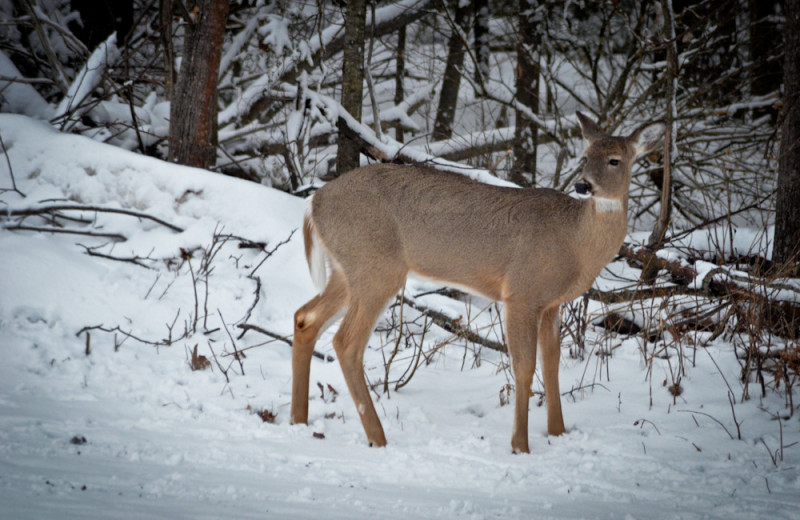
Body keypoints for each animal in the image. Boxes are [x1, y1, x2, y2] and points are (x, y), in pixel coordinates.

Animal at [288, 111, 664, 452]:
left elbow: (552, 363)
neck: (575, 244)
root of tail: (313, 201)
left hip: (347, 270)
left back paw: (298, 420)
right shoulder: (521, 292)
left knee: (305, 318)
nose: (583, 185)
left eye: (615, 160)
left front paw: (558, 432)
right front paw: (520, 445)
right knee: (346, 342)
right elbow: (524, 367)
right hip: (376, 267)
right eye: (586, 157)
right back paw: (378, 438)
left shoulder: (551, 303)